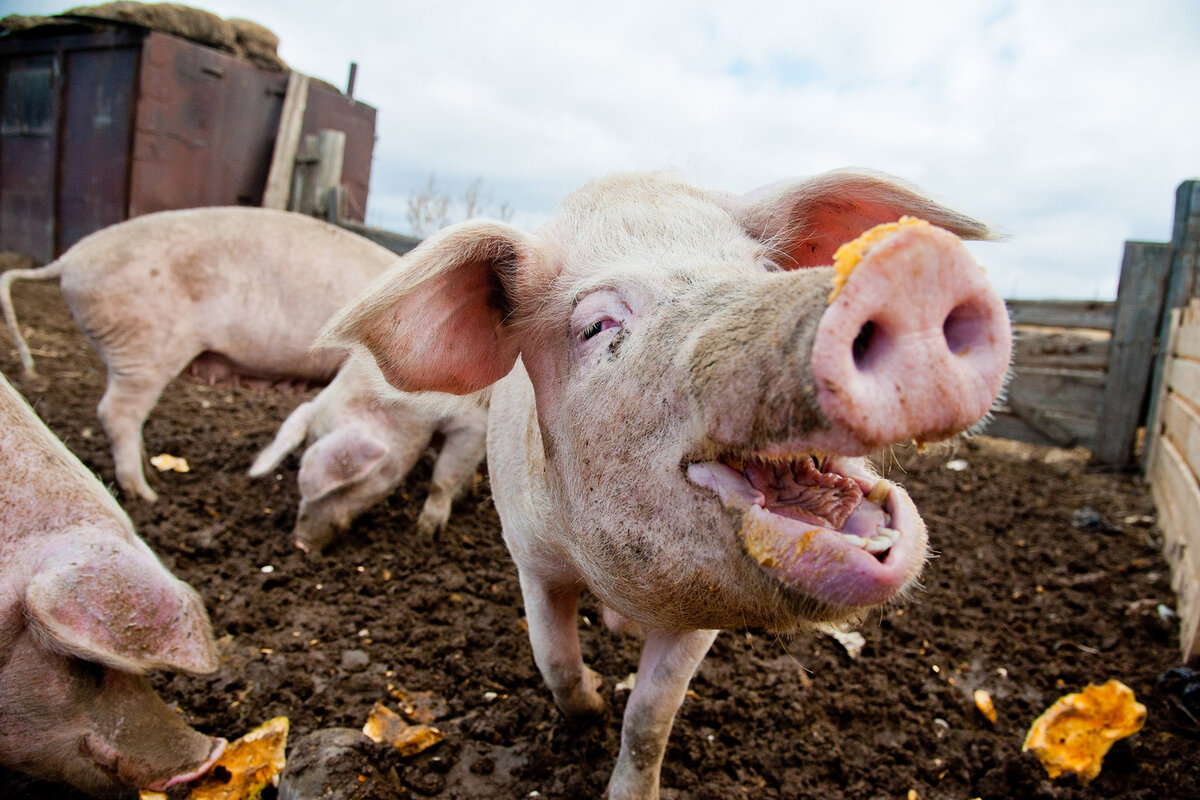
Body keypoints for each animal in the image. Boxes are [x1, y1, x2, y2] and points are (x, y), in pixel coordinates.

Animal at [246, 352, 489, 554]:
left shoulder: (474, 422)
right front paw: (467, 495)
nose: (300, 544)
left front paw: (425, 536)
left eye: (341, 487)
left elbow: (443, 480)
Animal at [319, 170, 1012, 800]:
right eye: (598, 325)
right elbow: (555, 660)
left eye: (766, 268)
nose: (912, 267)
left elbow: (651, 718)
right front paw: (592, 706)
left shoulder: (703, 613)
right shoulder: (530, 557)